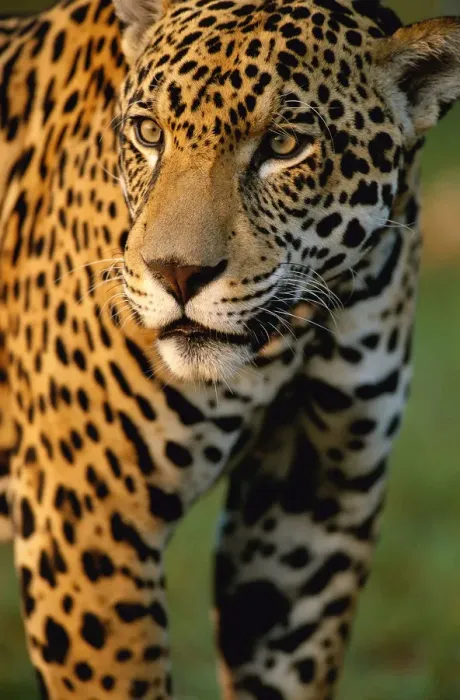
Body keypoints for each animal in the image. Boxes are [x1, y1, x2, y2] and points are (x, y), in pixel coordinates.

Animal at [1, 0, 459, 698]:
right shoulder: (86, 517)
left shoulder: (310, 515)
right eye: (148, 133)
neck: (298, 332)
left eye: (285, 146)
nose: (177, 274)